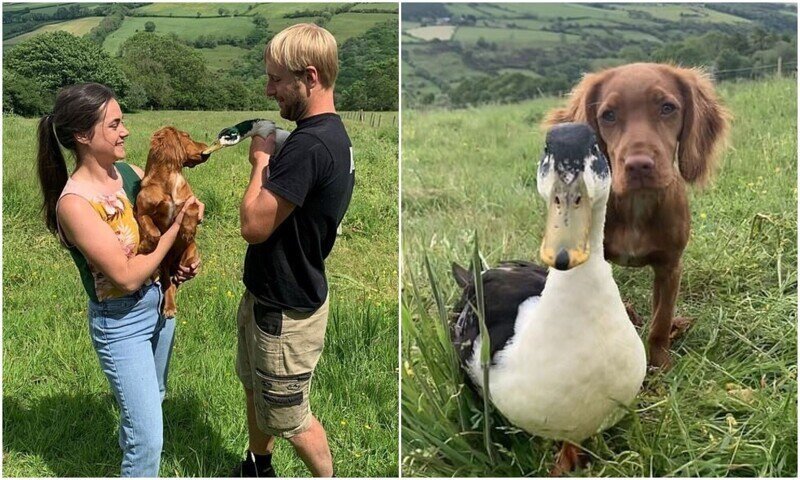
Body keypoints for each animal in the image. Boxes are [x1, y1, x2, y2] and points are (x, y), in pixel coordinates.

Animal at [136, 125, 209, 316]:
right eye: (187, 136)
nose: (207, 148)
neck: (169, 181)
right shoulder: (142, 212)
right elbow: (154, 233)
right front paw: (143, 247)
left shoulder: (192, 201)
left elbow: (191, 209)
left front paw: (188, 230)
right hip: (163, 266)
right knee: (169, 284)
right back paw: (169, 308)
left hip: (189, 258)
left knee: (176, 283)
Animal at [548, 63, 728, 370]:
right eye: (608, 115)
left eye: (668, 108)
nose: (639, 166)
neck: (637, 204)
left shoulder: (670, 266)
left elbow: (660, 322)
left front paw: (660, 366)